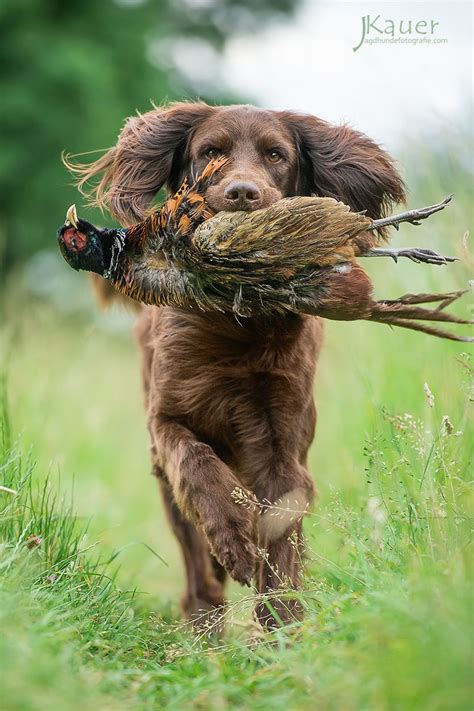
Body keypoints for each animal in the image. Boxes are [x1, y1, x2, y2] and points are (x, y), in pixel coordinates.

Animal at [73, 101, 404, 628]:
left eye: (276, 155)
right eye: (210, 152)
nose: (242, 193)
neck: (236, 324)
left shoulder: (282, 443)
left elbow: (282, 531)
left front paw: (282, 625)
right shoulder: (166, 419)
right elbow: (197, 466)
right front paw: (234, 541)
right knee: (192, 550)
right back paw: (204, 614)